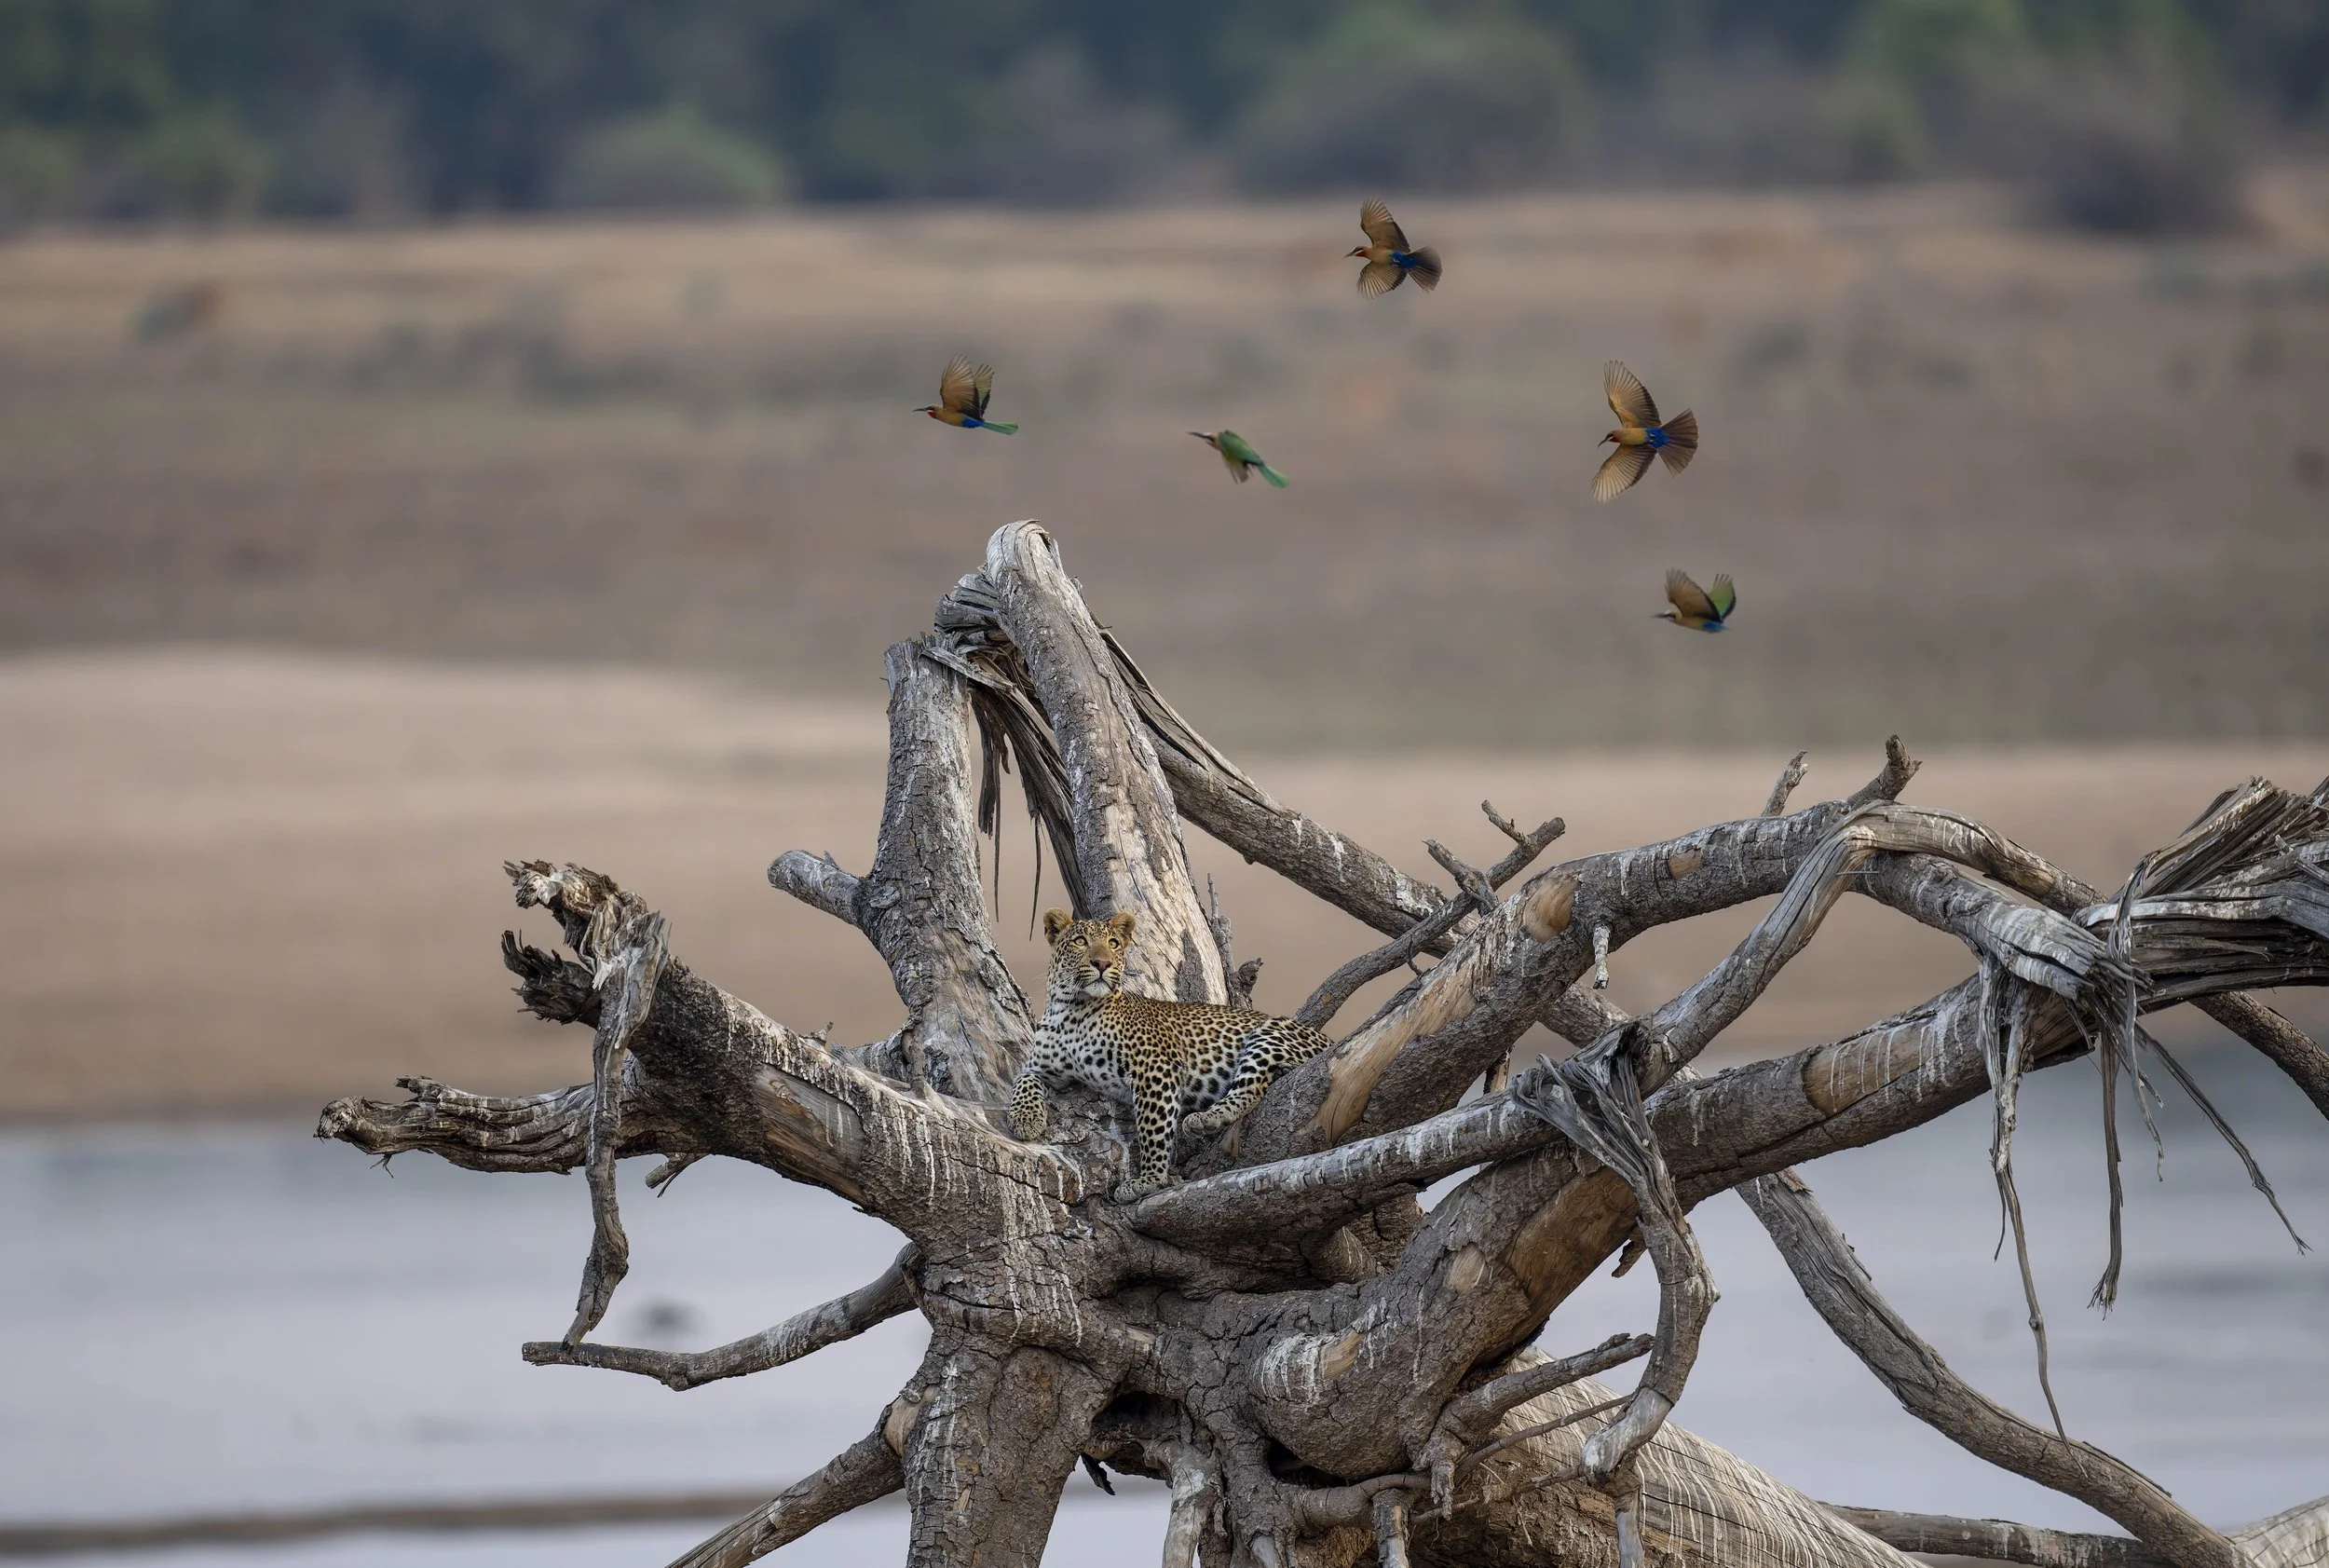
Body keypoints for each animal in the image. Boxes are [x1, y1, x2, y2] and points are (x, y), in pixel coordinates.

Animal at [1009, 908, 1332, 1202]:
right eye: (1079, 941)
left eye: (1113, 943)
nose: (1102, 963)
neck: (1071, 1009)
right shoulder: (1040, 1068)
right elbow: (1021, 1080)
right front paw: (1026, 1119)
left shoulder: (1155, 1069)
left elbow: (1152, 1129)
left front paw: (1149, 1181)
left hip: (1271, 1032)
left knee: (1250, 1089)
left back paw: (1204, 1119)